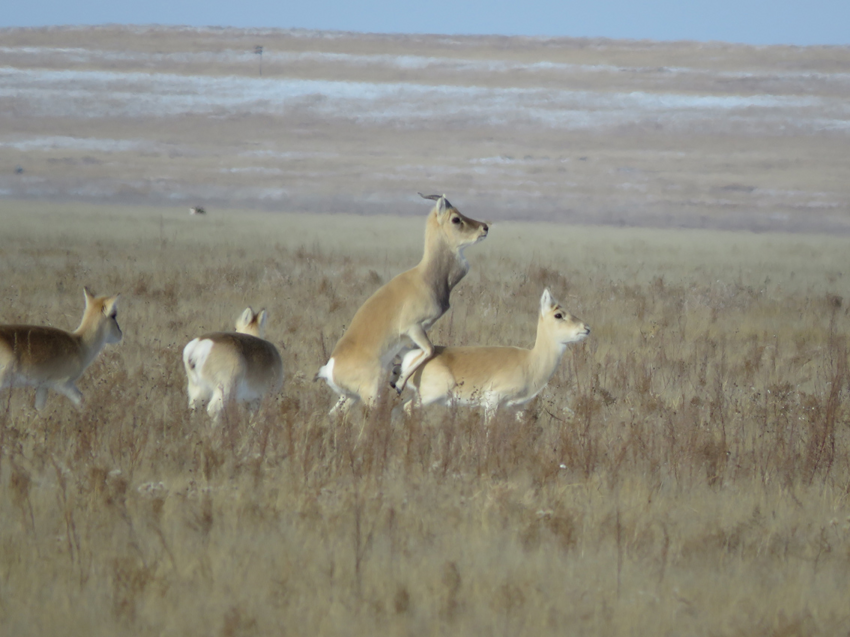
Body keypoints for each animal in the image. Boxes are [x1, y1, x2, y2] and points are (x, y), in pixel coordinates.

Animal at [314, 193, 486, 412]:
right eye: (456, 218)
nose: (485, 227)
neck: (424, 278)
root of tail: (329, 367)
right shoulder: (414, 329)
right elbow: (429, 350)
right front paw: (399, 384)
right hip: (370, 397)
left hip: (349, 398)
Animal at [396, 288, 584, 422]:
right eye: (558, 315)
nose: (586, 328)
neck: (530, 361)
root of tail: (413, 354)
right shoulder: (492, 403)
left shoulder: (518, 407)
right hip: (427, 397)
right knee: (406, 408)